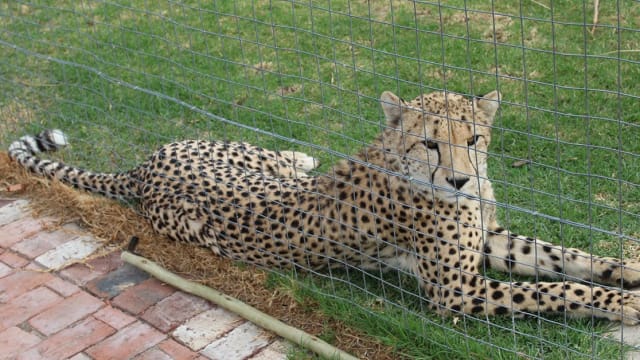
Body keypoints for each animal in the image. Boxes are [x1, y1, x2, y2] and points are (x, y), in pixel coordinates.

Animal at [7, 90, 640, 324]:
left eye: (474, 138)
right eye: (429, 142)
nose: (461, 179)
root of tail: (141, 169)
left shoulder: (491, 242)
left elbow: (567, 259)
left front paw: (627, 271)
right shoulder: (455, 291)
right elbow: (560, 288)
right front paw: (623, 306)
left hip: (235, 152)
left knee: (283, 162)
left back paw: (302, 156)